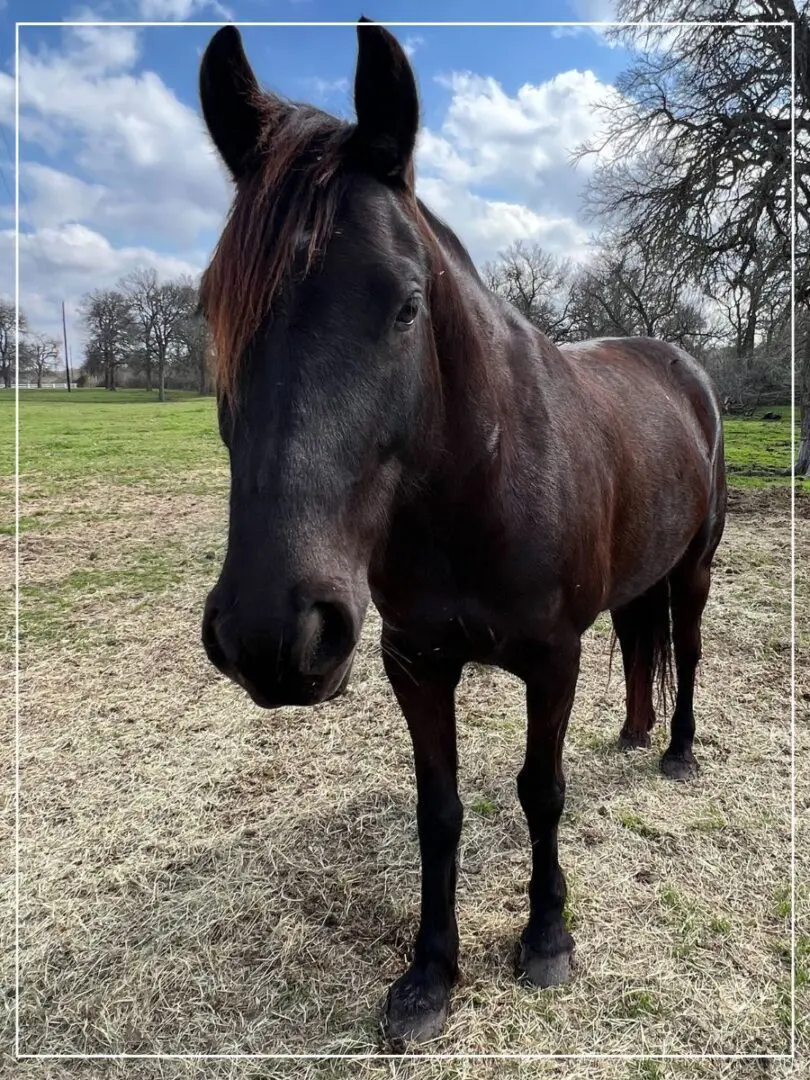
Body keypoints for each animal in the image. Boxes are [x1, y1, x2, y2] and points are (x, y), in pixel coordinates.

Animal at [198, 14, 730, 1045]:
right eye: (212, 310)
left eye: (407, 304)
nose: (272, 636)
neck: (479, 478)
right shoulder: (416, 661)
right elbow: (437, 811)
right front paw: (429, 975)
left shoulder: (552, 659)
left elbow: (539, 791)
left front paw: (548, 939)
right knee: (643, 642)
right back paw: (634, 733)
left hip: (693, 567)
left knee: (683, 647)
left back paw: (679, 751)